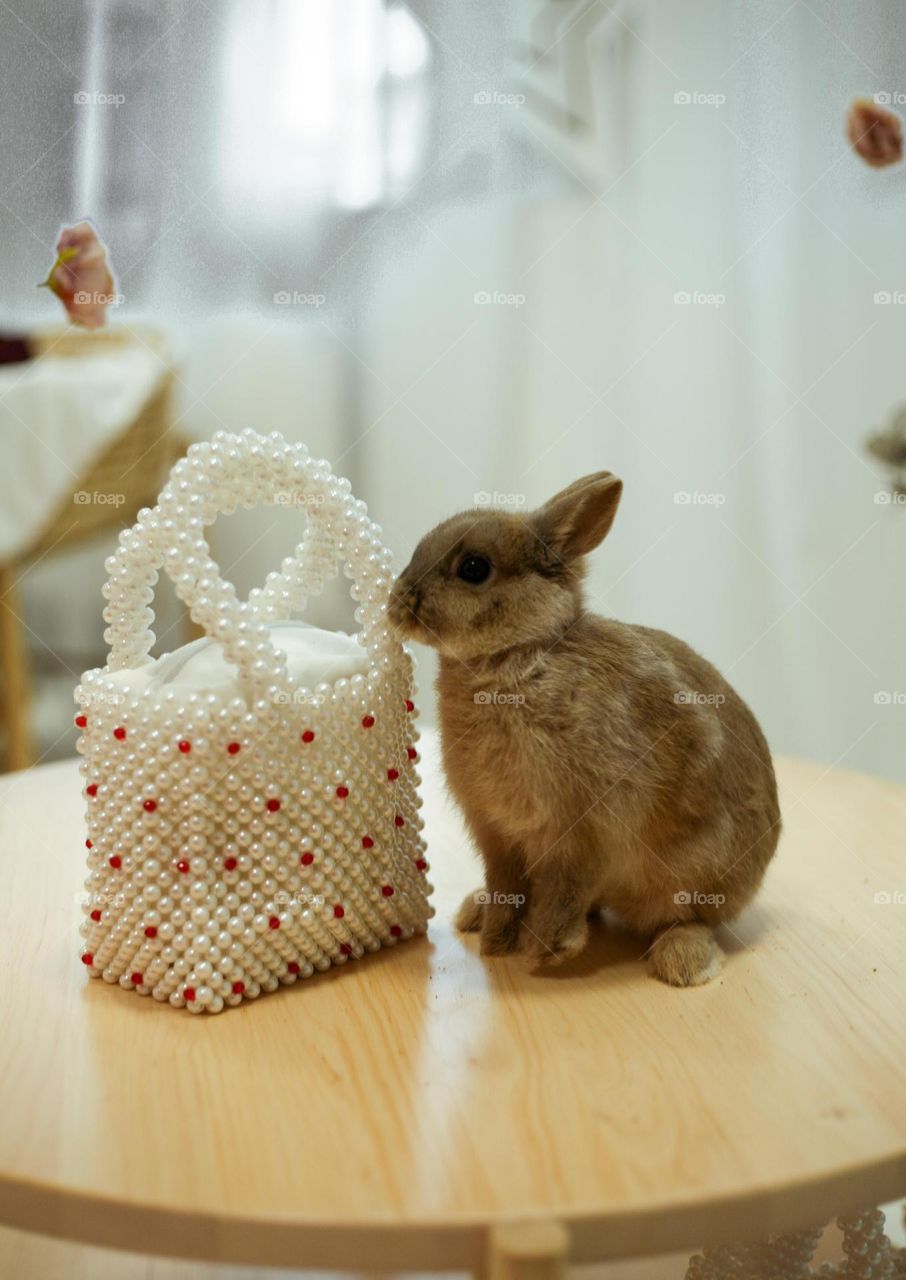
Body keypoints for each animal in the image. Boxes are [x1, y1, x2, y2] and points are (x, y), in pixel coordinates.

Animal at [387, 473, 781, 986]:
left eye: (474, 568)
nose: (396, 604)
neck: (517, 657)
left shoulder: (580, 830)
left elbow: (565, 889)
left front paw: (543, 951)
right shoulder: (496, 833)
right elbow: (505, 884)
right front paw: (496, 941)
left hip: (695, 875)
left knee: (690, 917)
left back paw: (681, 961)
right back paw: (475, 911)